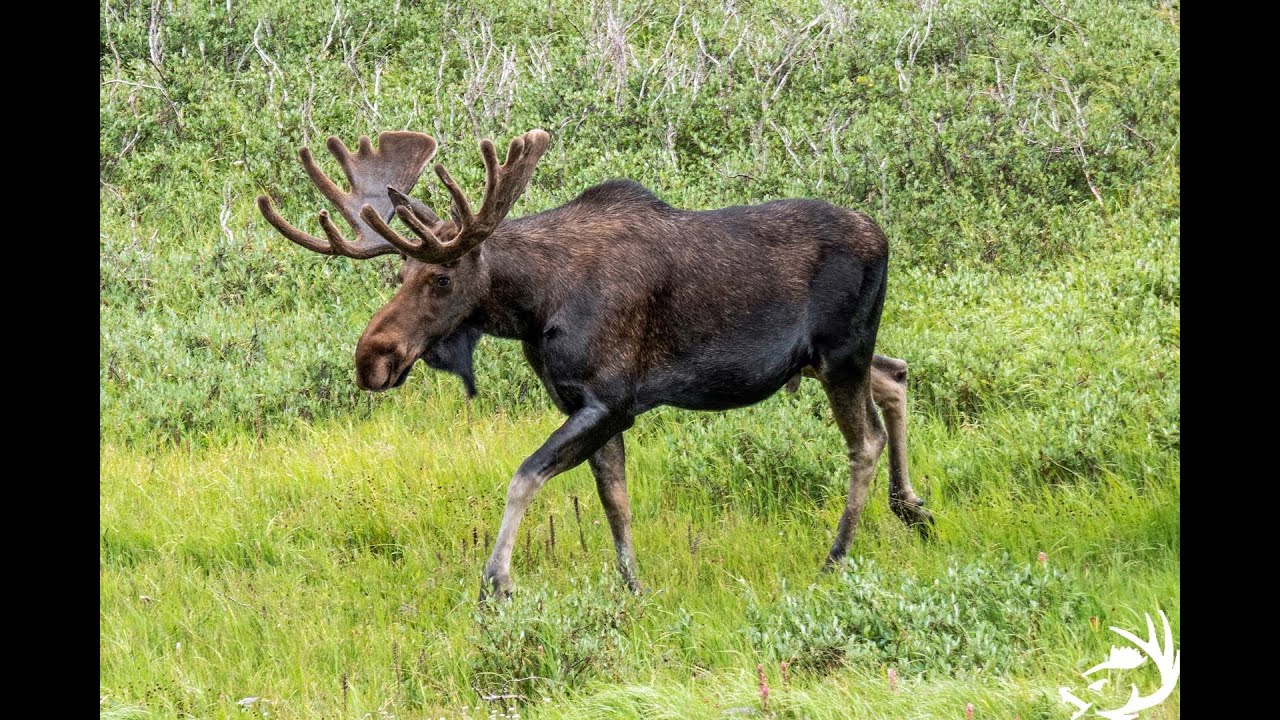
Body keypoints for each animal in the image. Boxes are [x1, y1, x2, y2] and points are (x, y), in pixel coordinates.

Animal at [254, 130, 936, 599]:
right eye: (399, 275)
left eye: (441, 278)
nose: (371, 359)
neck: (533, 306)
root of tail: (884, 236)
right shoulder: (589, 403)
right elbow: (615, 501)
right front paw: (631, 586)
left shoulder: (610, 400)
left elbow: (525, 476)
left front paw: (497, 581)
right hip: (826, 357)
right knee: (897, 375)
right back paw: (913, 508)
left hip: (840, 352)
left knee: (866, 440)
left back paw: (836, 557)